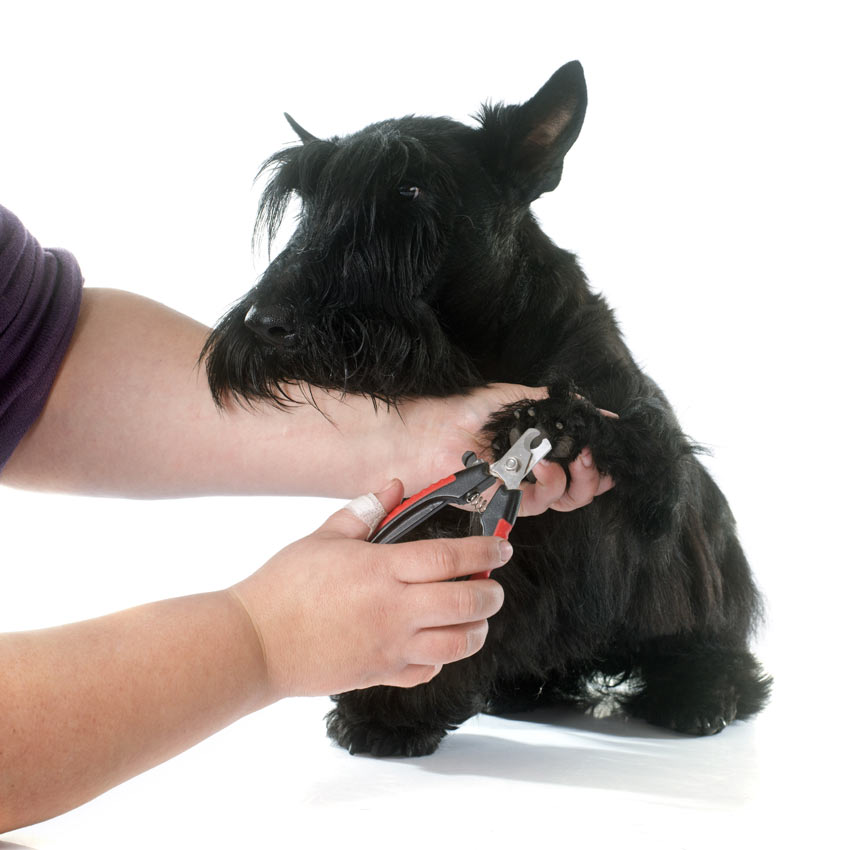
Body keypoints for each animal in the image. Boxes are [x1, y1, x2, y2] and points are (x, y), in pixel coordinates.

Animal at [204, 61, 768, 756]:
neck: (488, 350)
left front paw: (551, 422)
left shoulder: (660, 485)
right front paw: (387, 712)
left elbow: (636, 443)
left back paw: (701, 691)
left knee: (714, 645)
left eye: (412, 187)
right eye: (310, 197)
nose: (265, 323)